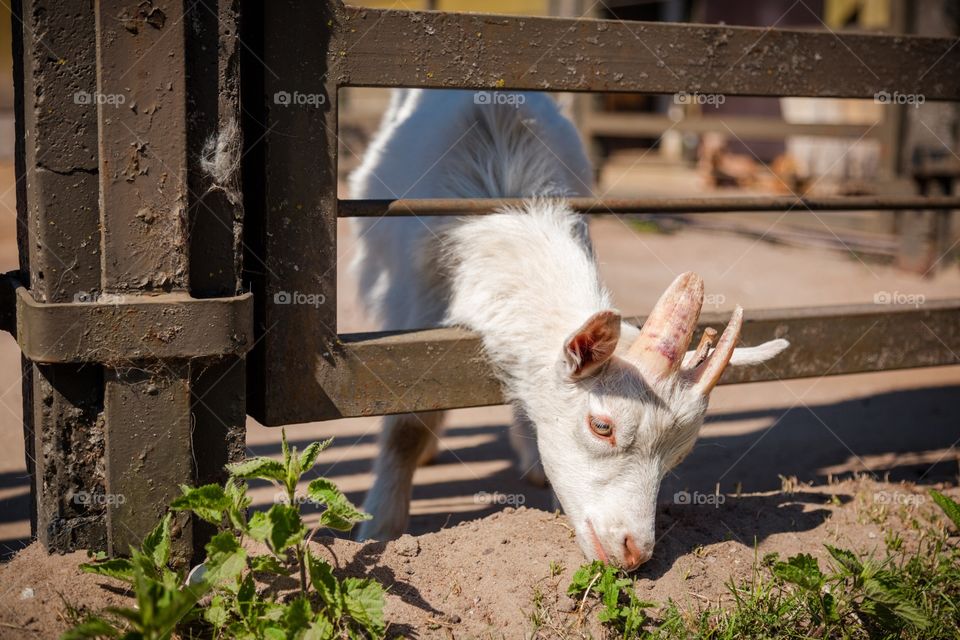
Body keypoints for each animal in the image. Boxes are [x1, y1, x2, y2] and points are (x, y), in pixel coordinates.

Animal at [348, 87, 784, 568]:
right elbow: (407, 419)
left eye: (679, 453)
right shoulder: (411, 311)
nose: (634, 551)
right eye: (602, 427)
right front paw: (380, 527)